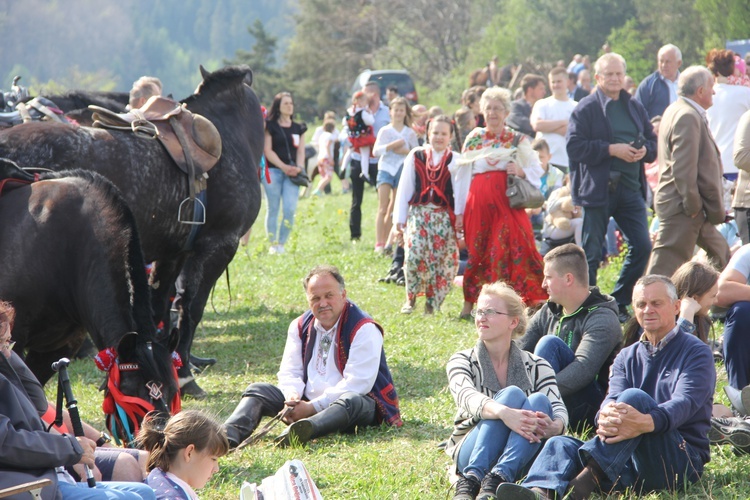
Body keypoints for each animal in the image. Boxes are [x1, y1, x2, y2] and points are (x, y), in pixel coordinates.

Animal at [0, 64, 266, 396]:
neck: (228, 136)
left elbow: (160, 309)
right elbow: (191, 308)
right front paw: (186, 377)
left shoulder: (173, 252)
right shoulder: (219, 245)